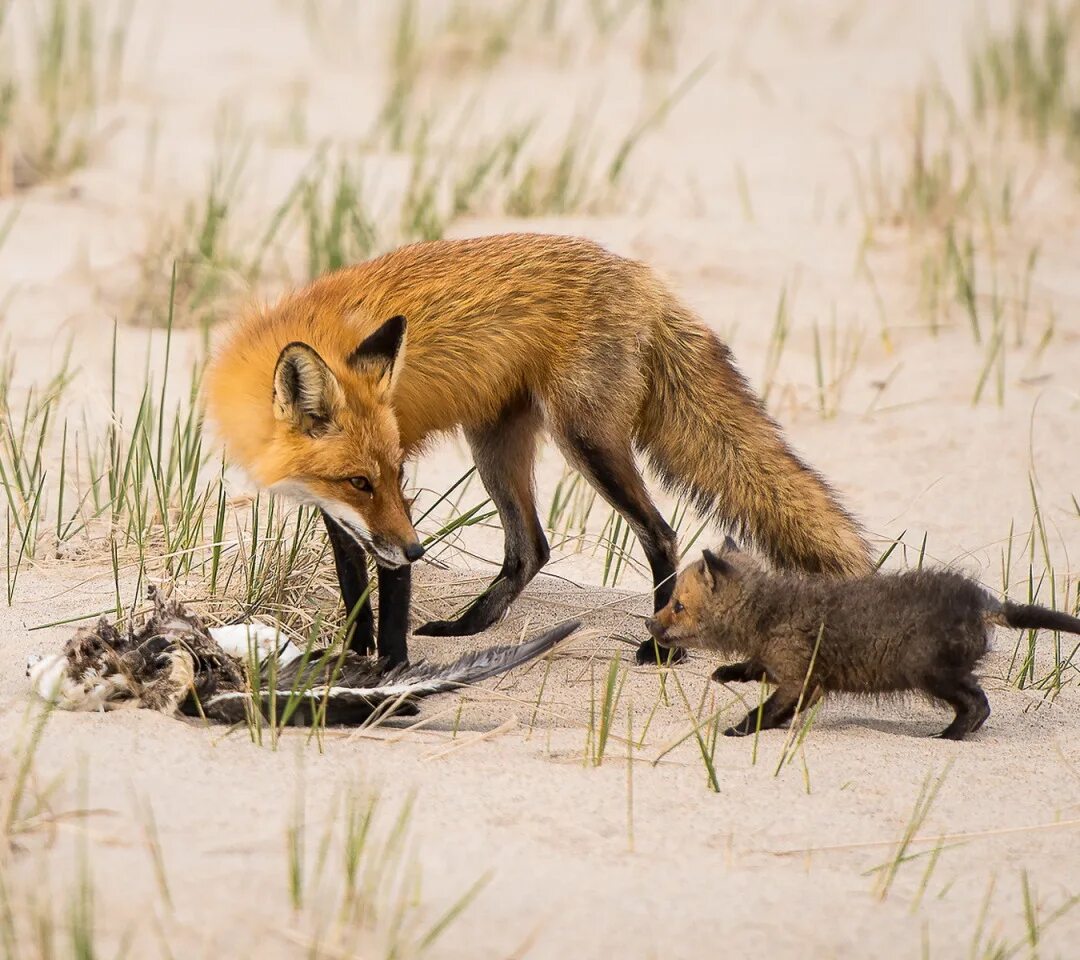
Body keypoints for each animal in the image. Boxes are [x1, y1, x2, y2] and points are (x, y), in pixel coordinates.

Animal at [206, 233, 872, 665]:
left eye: (396, 474)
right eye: (358, 481)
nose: (420, 549)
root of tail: (644, 279)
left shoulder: (396, 509)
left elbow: (389, 587)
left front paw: (388, 668)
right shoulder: (347, 513)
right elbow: (354, 585)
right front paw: (352, 652)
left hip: (586, 440)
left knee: (660, 532)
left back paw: (660, 647)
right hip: (495, 445)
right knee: (531, 547)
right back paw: (470, 626)